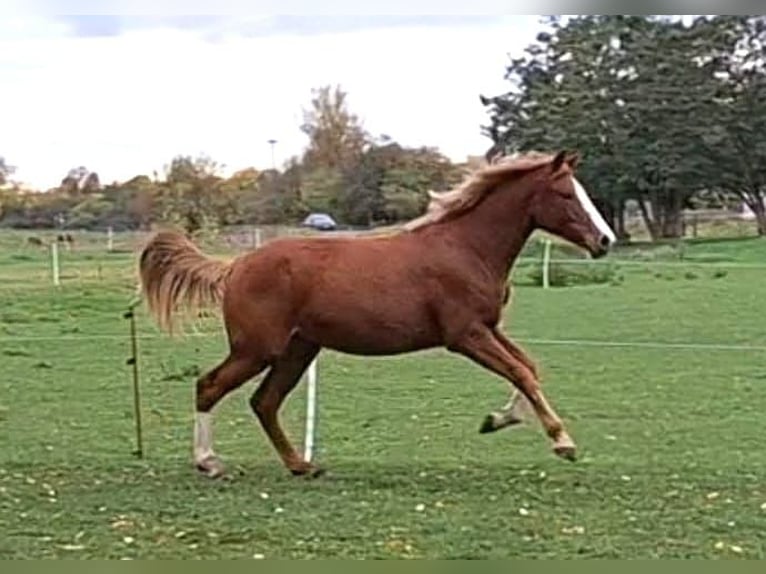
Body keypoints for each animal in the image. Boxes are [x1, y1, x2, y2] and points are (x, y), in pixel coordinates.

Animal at [138, 150, 616, 479]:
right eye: (565, 193)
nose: (605, 241)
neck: (466, 248)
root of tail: (235, 266)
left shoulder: (488, 328)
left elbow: (529, 367)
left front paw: (497, 420)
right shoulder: (465, 335)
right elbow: (521, 372)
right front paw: (562, 442)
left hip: (298, 350)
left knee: (264, 401)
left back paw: (301, 465)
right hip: (257, 349)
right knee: (209, 386)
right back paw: (210, 463)